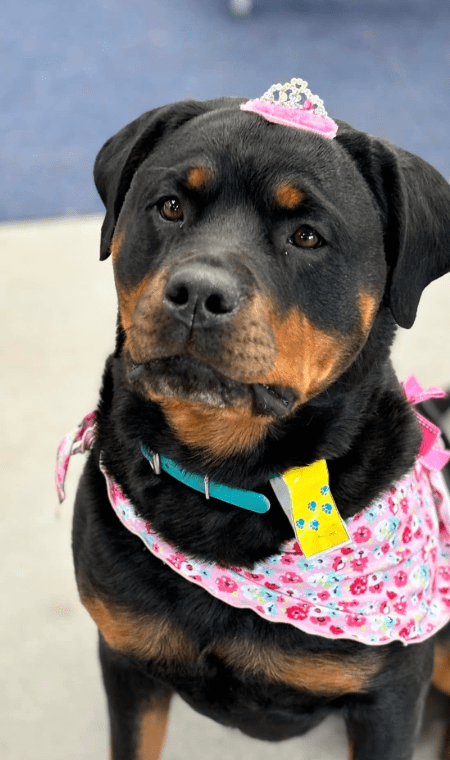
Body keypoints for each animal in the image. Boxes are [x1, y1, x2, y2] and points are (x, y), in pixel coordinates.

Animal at [69, 96, 450, 760]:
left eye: (307, 236)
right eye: (171, 206)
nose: (198, 291)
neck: (225, 482)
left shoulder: (390, 695)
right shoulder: (126, 659)